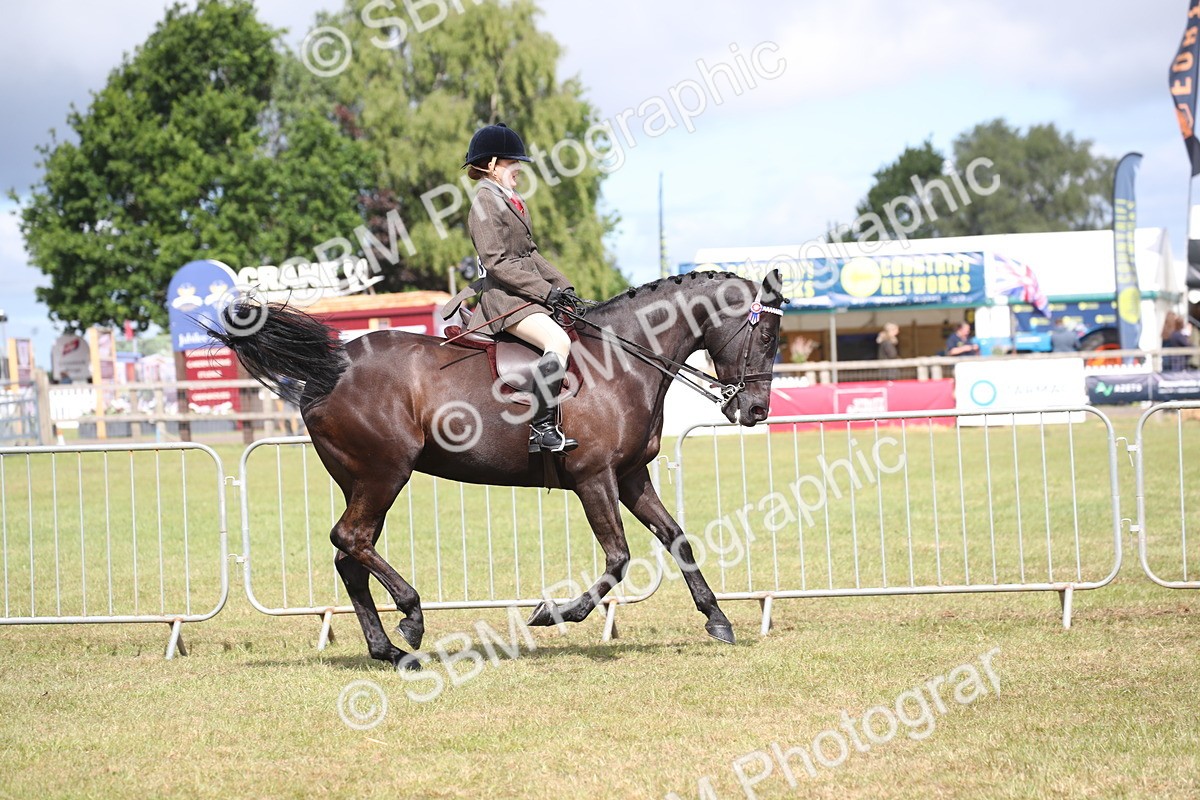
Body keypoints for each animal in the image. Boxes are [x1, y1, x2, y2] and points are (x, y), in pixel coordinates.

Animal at [210, 268, 786, 668]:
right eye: (766, 338)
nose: (756, 411)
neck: (622, 361)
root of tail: (328, 368)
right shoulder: (594, 478)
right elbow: (619, 558)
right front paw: (554, 613)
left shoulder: (630, 477)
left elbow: (677, 539)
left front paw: (718, 619)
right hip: (384, 473)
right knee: (349, 539)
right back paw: (411, 618)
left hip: (363, 480)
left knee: (350, 554)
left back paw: (390, 651)